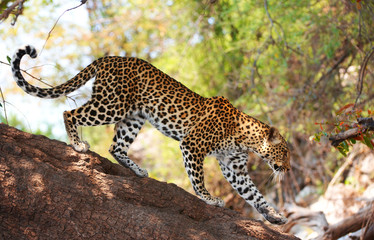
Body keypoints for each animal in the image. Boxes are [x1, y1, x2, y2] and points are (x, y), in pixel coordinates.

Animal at [11, 45, 290, 225]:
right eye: (285, 152)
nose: (287, 169)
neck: (245, 140)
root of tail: (108, 58)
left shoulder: (234, 167)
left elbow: (254, 193)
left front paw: (274, 215)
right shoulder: (192, 145)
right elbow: (198, 177)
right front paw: (209, 198)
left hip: (133, 118)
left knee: (116, 148)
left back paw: (137, 170)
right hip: (111, 105)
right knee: (70, 112)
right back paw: (78, 144)